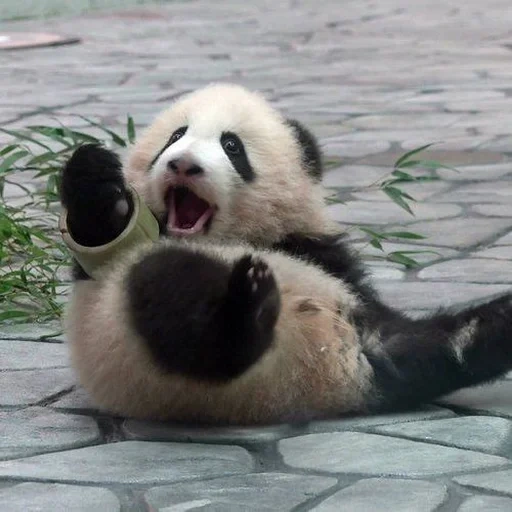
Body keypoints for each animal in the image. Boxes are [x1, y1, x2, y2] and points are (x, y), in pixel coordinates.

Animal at [60, 83, 512, 424]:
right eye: (175, 136)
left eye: (232, 146)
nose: (183, 165)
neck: (231, 238)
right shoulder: (115, 264)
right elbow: (103, 237)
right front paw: (95, 177)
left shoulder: (316, 251)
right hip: (138, 353)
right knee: (167, 288)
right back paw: (245, 306)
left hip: (365, 332)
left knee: (437, 343)